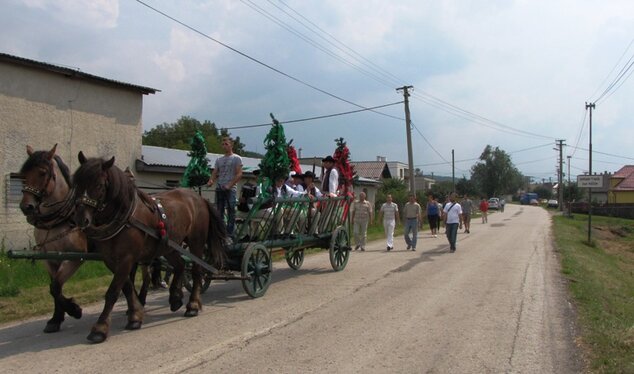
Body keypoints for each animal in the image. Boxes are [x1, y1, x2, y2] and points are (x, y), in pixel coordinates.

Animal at [19, 144, 90, 334]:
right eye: (23, 173)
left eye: (43, 172)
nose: (26, 207)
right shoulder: (50, 258)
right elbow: (53, 288)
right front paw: (55, 319)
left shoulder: (76, 257)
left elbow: (56, 286)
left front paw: (74, 309)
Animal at [73, 152, 226, 344]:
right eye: (76, 182)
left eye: (99, 185)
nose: (81, 219)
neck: (125, 216)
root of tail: (200, 198)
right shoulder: (112, 260)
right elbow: (127, 287)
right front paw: (135, 315)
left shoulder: (127, 258)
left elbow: (113, 291)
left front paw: (99, 328)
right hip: (170, 246)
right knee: (180, 265)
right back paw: (176, 298)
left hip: (196, 242)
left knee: (197, 271)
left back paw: (192, 305)